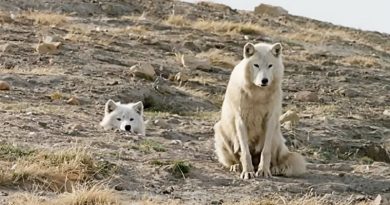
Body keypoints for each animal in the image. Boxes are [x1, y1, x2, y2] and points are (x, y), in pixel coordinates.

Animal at [215, 42, 306, 179]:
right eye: (256, 65)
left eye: (270, 65)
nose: (264, 80)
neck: (258, 94)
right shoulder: (241, 120)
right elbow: (245, 152)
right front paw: (247, 172)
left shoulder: (270, 120)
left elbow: (266, 151)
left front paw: (263, 171)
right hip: (220, 130)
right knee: (235, 158)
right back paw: (236, 167)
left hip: (275, 135)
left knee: (275, 160)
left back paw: (274, 169)